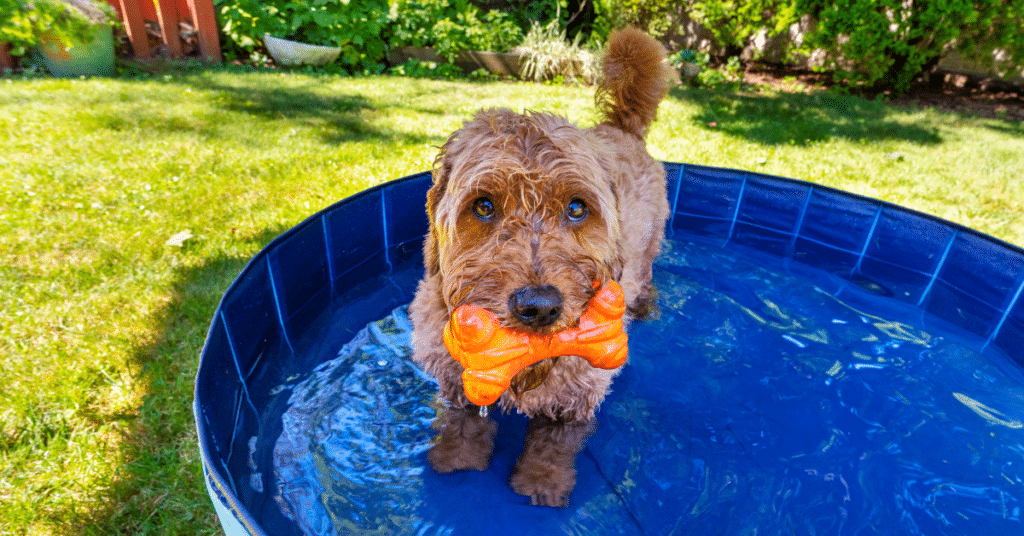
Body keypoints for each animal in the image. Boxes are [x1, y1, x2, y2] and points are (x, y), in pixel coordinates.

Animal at [407, 28, 671, 508]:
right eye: (484, 206)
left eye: (577, 208)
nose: (539, 306)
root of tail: (619, 126)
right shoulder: (455, 375)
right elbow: (463, 420)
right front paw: (456, 458)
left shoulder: (579, 391)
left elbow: (555, 442)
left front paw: (542, 482)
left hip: (648, 251)